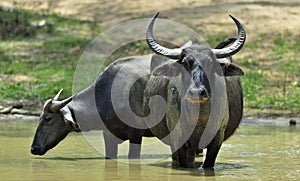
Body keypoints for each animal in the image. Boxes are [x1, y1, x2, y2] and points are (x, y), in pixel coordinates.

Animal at [144, 12, 246, 168]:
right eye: (185, 63)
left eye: (210, 63)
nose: (197, 92)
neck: (198, 118)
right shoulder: (178, 140)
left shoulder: (216, 140)